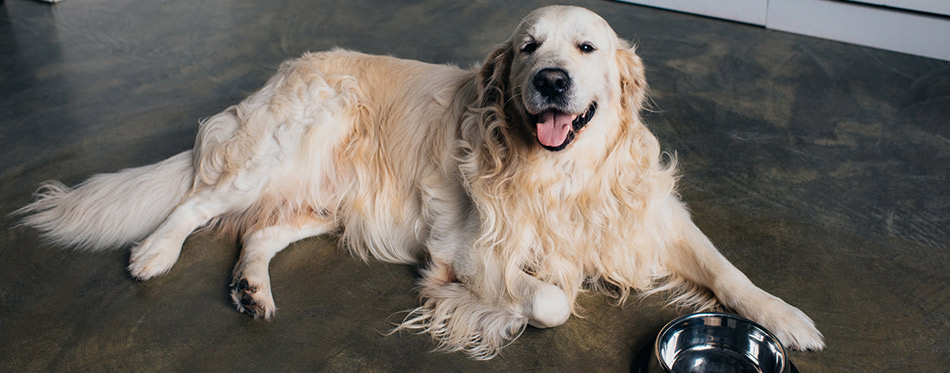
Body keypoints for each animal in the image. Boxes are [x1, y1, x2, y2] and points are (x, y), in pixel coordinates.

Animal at [18, 5, 828, 358]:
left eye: (585, 47)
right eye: (528, 48)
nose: (551, 80)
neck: (560, 175)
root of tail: (277, 75)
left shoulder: (650, 216)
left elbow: (726, 268)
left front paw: (787, 316)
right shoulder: (464, 245)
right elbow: (551, 298)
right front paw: (492, 316)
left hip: (327, 201)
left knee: (259, 231)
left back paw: (252, 288)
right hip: (280, 150)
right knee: (197, 202)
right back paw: (153, 253)